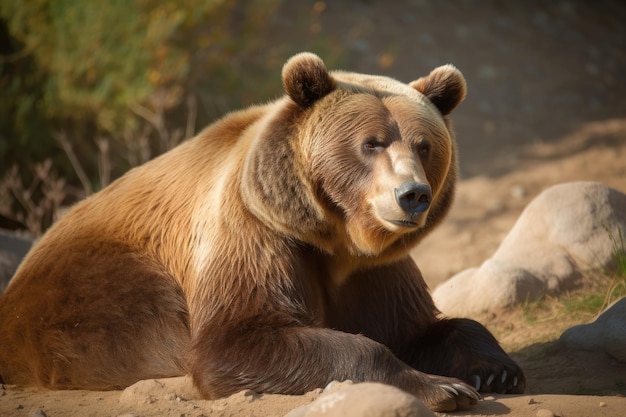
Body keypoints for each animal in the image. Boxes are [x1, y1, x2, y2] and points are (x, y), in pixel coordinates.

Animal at [0, 52, 520, 410]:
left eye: (424, 144)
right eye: (371, 143)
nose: (412, 195)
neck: (337, 238)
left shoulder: (374, 271)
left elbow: (417, 326)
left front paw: (495, 369)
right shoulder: (255, 235)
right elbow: (239, 339)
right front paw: (442, 387)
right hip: (91, 289)